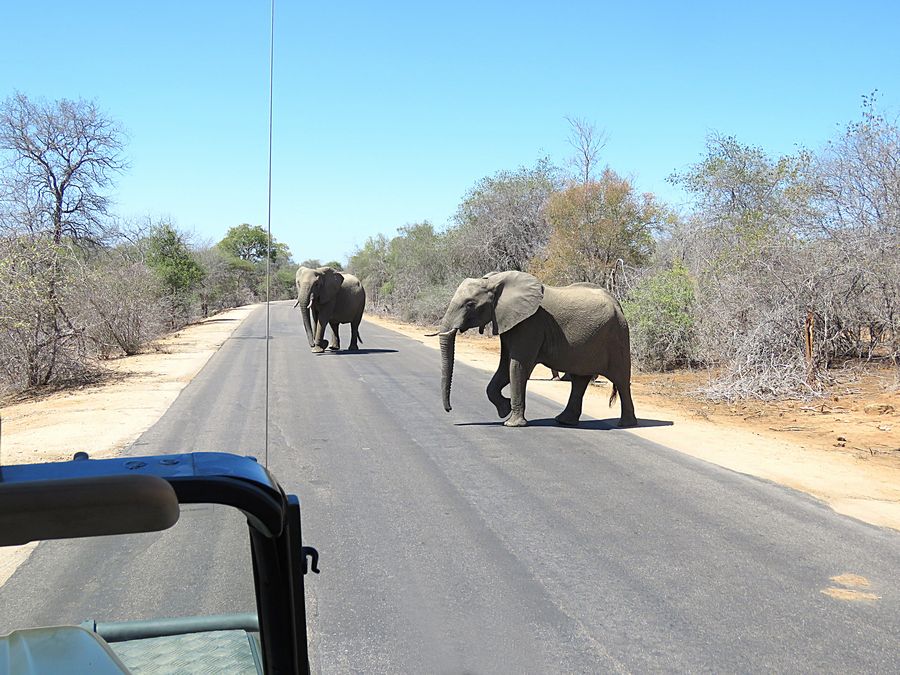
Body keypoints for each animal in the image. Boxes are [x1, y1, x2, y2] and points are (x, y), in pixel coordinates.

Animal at [434, 271, 637, 428]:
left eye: (470, 304)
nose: (449, 409)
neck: (495, 281)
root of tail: (617, 303)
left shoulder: (530, 324)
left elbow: (517, 366)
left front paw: (512, 423)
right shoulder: (509, 321)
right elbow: (504, 366)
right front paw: (504, 410)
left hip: (617, 336)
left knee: (620, 379)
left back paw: (626, 424)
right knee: (580, 380)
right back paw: (564, 421)